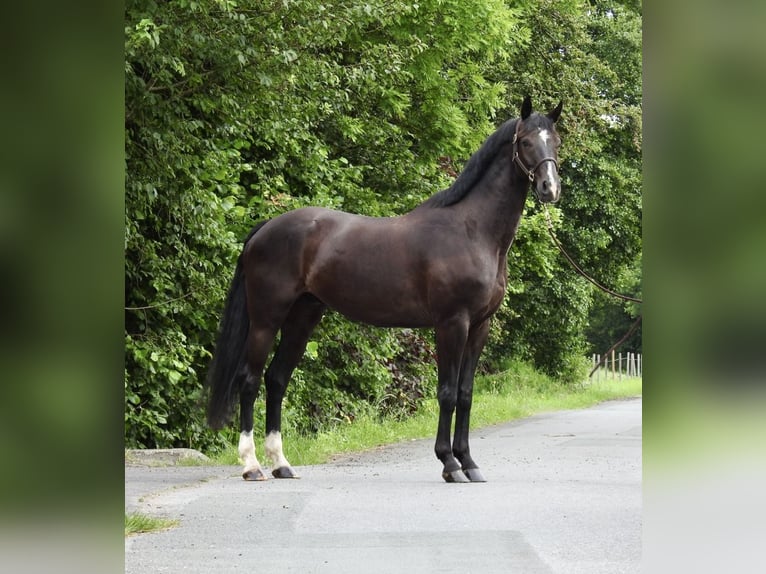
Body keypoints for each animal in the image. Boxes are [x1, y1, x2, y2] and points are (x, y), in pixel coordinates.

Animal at [206, 96, 563, 483]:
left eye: (556, 142)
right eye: (525, 142)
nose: (550, 188)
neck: (472, 231)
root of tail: (267, 227)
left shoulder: (480, 325)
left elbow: (466, 394)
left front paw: (469, 463)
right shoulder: (452, 323)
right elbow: (447, 393)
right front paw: (450, 464)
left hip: (303, 316)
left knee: (276, 379)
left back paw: (281, 464)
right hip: (266, 318)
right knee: (249, 380)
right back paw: (252, 465)